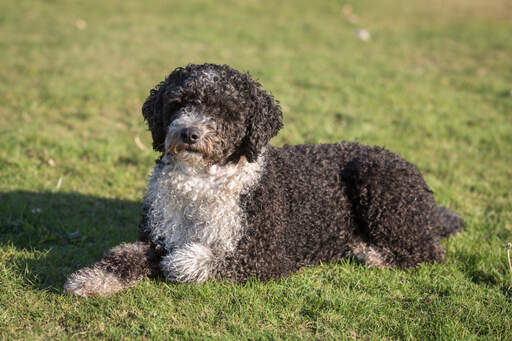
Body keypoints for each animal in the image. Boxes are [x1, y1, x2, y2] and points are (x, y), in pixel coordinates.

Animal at [64, 63, 464, 294]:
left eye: (226, 110)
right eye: (179, 102)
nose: (188, 133)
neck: (203, 182)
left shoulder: (265, 256)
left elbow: (195, 260)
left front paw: (180, 262)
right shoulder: (158, 236)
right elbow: (123, 254)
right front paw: (91, 278)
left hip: (380, 183)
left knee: (428, 251)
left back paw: (374, 255)